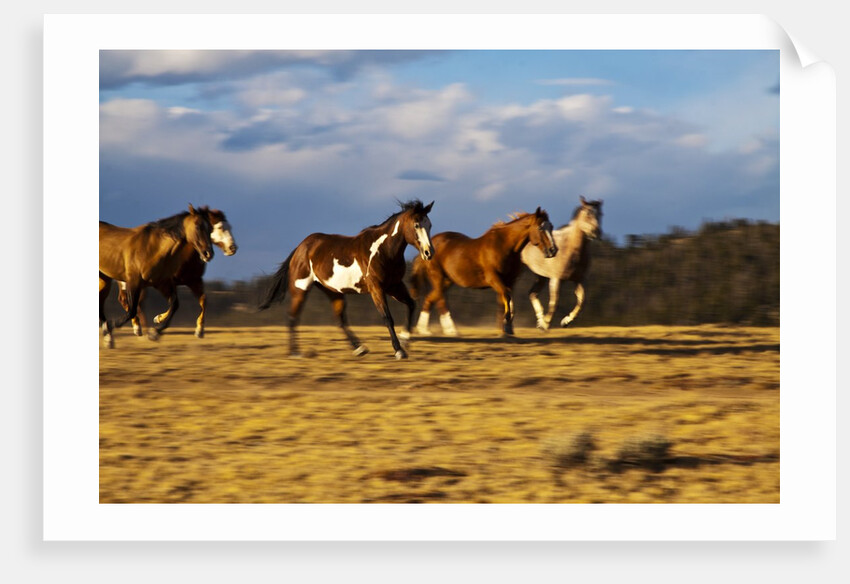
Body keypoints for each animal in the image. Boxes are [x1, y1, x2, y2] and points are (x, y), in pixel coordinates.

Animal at [99, 205, 214, 348]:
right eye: (198, 226)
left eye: (211, 228)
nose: (208, 254)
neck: (152, 249)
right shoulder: (133, 282)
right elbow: (132, 310)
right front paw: (109, 325)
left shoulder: (161, 283)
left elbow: (175, 304)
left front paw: (155, 332)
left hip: (104, 278)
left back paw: (109, 338)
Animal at [117, 208, 238, 339]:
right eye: (219, 227)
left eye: (230, 227)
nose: (232, 248)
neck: (184, 257)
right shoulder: (167, 282)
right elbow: (173, 303)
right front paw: (158, 320)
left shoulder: (194, 281)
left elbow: (203, 300)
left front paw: (199, 330)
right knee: (127, 301)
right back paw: (137, 327)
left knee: (135, 303)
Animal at [258, 199, 435, 360]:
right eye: (416, 225)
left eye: (430, 225)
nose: (428, 252)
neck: (383, 251)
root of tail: (300, 249)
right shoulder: (376, 288)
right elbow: (387, 318)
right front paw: (399, 350)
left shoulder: (394, 286)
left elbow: (411, 305)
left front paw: (405, 341)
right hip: (300, 290)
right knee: (292, 317)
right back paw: (295, 353)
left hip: (333, 292)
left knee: (339, 319)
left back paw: (359, 348)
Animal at [410, 207, 557, 337]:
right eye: (540, 228)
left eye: (551, 226)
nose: (553, 250)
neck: (504, 247)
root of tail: (426, 249)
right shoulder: (494, 279)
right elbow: (506, 297)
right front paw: (506, 325)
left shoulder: (510, 280)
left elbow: (504, 301)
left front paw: (505, 330)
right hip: (438, 276)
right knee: (441, 301)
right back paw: (451, 330)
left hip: (447, 280)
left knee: (429, 299)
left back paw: (424, 330)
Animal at [521, 196, 602, 330]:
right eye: (587, 213)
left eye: (600, 214)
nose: (596, 232)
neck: (572, 249)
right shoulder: (556, 279)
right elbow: (554, 302)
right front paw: (546, 324)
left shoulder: (579, 280)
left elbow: (582, 301)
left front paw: (565, 321)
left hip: (540, 277)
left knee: (532, 293)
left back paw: (539, 320)